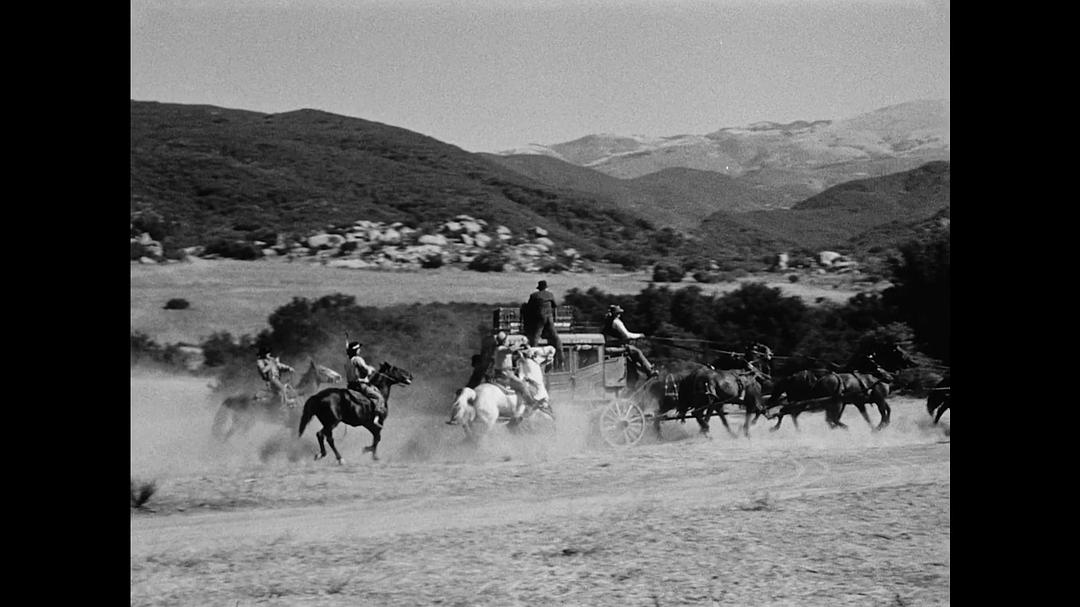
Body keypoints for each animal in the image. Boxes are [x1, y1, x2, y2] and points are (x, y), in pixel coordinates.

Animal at [211, 356, 341, 442]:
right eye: (323, 370)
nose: (339, 376)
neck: (301, 396)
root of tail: (234, 399)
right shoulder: (295, 426)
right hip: (243, 423)